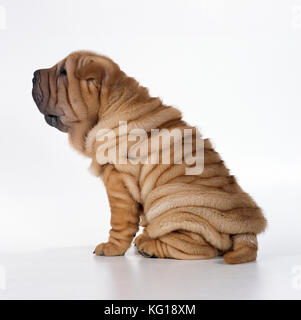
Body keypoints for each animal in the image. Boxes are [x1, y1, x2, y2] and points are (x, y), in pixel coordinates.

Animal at [32, 51, 266, 264]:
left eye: (63, 72)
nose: (33, 74)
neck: (110, 105)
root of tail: (248, 231)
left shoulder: (118, 179)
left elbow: (120, 220)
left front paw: (111, 248)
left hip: (171, 200)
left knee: (203, 248)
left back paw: (150, 247)